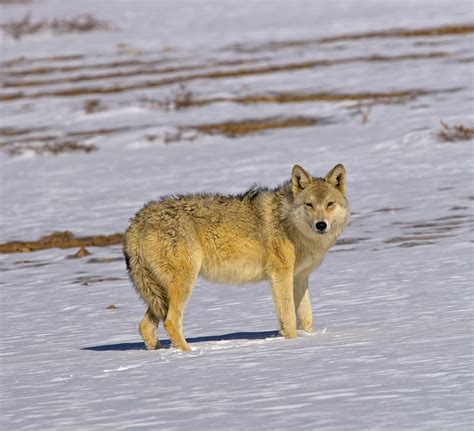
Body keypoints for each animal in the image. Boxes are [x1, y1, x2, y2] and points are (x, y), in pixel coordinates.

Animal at [124, 165, 350, 352]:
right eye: (309, 205)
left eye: (330, 204)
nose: (321, 225)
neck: (289, 223)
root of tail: (136, 221)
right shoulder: (280, 275)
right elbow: (288, 318)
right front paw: (293, 344)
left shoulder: (300, 278)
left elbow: (307, 319)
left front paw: (309, 340)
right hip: (184, 283)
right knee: (171, 321)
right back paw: (190, 354)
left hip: (159, 294)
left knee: (145, 326)